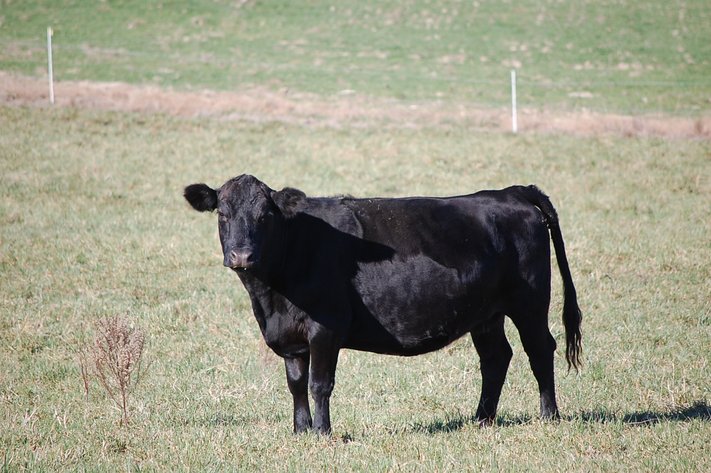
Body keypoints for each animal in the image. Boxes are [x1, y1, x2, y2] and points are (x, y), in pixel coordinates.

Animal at [184, 174, 582, 434]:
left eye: (264, 216)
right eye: (223, 215)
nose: (242, 255)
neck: (271, 298)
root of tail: (510, 192)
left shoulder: (326, 327)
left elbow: (319, 384)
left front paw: (322, 433)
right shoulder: (290, 337)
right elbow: (296, 384)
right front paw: (300, 431)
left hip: (529, 301)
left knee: (539, 349)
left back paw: (549, 416)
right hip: (486, 313)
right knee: (496, 357)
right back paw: (481, 419)